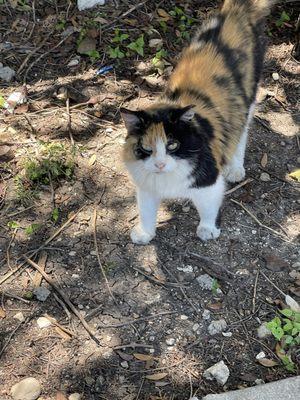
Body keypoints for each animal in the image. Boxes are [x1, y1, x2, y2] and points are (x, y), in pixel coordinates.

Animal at [120, 0, 274, 245]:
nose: (159, 164)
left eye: (173, 144)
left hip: (247, 99)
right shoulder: (147, 186)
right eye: (146, 148)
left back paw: (235, 168)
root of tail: (235, 11)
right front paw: (144, 233)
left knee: (241, 133)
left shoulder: (208, 180)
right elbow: (146, 211)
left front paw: (207, 230)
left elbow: (208, 207)